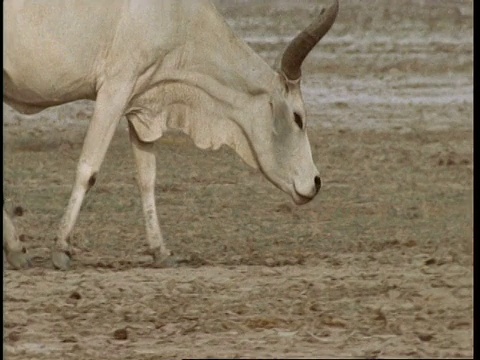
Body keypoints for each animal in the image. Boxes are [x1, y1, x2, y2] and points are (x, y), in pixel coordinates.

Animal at [2, 0, 338, 270]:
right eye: (298, 118)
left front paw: (160, 252)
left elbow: (147, 178)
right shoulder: (114, 89)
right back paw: (17, 249)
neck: (179, 16)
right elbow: (89, 168)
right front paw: (61, 250)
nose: (315, 183)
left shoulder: (140, 105)